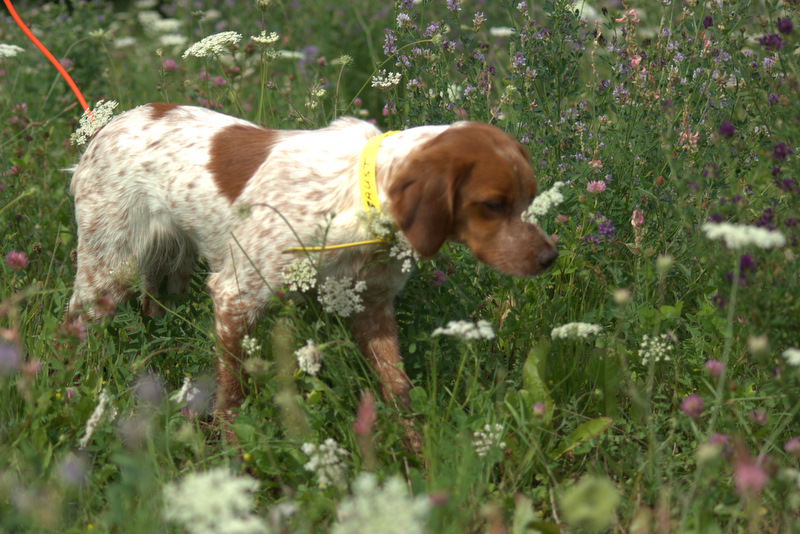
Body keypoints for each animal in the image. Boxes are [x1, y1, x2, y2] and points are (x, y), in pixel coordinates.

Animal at [67, 105, 556, 428]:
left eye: (531, 197)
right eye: (493, 204)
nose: (549, 257)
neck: (359, 198)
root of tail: (103, 127)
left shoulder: (372, 307)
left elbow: (398, 389)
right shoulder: (235, 296)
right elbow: (231, 391)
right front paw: (230, 447)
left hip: (170, 267)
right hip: (106, 272)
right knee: (74, 327)